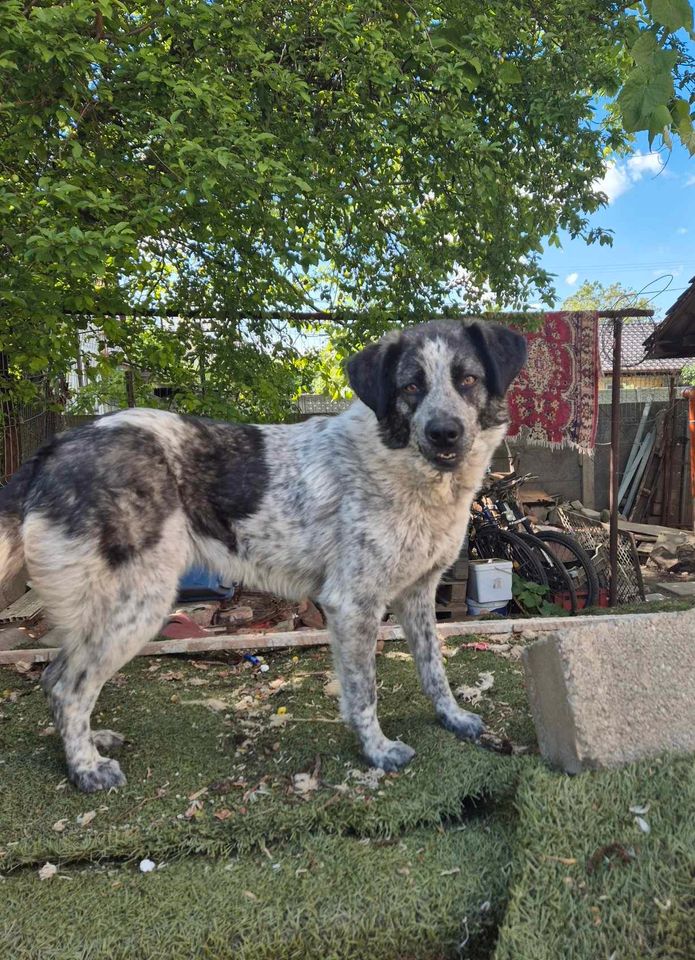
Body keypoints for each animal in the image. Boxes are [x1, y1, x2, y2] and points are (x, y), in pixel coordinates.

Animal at [0, 318, 524, 792]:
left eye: (468, 379)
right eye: (411, 385)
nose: (444, 433)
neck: (404, 466)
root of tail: (54, 448)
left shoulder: (417, 595)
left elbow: (435, 669)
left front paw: (453, 718)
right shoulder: (352, 605)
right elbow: (364, 692)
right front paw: (376, 750)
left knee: (58, 679)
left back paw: (91, 744)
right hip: (137, 603)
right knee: (66, 685)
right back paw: (85, 769)